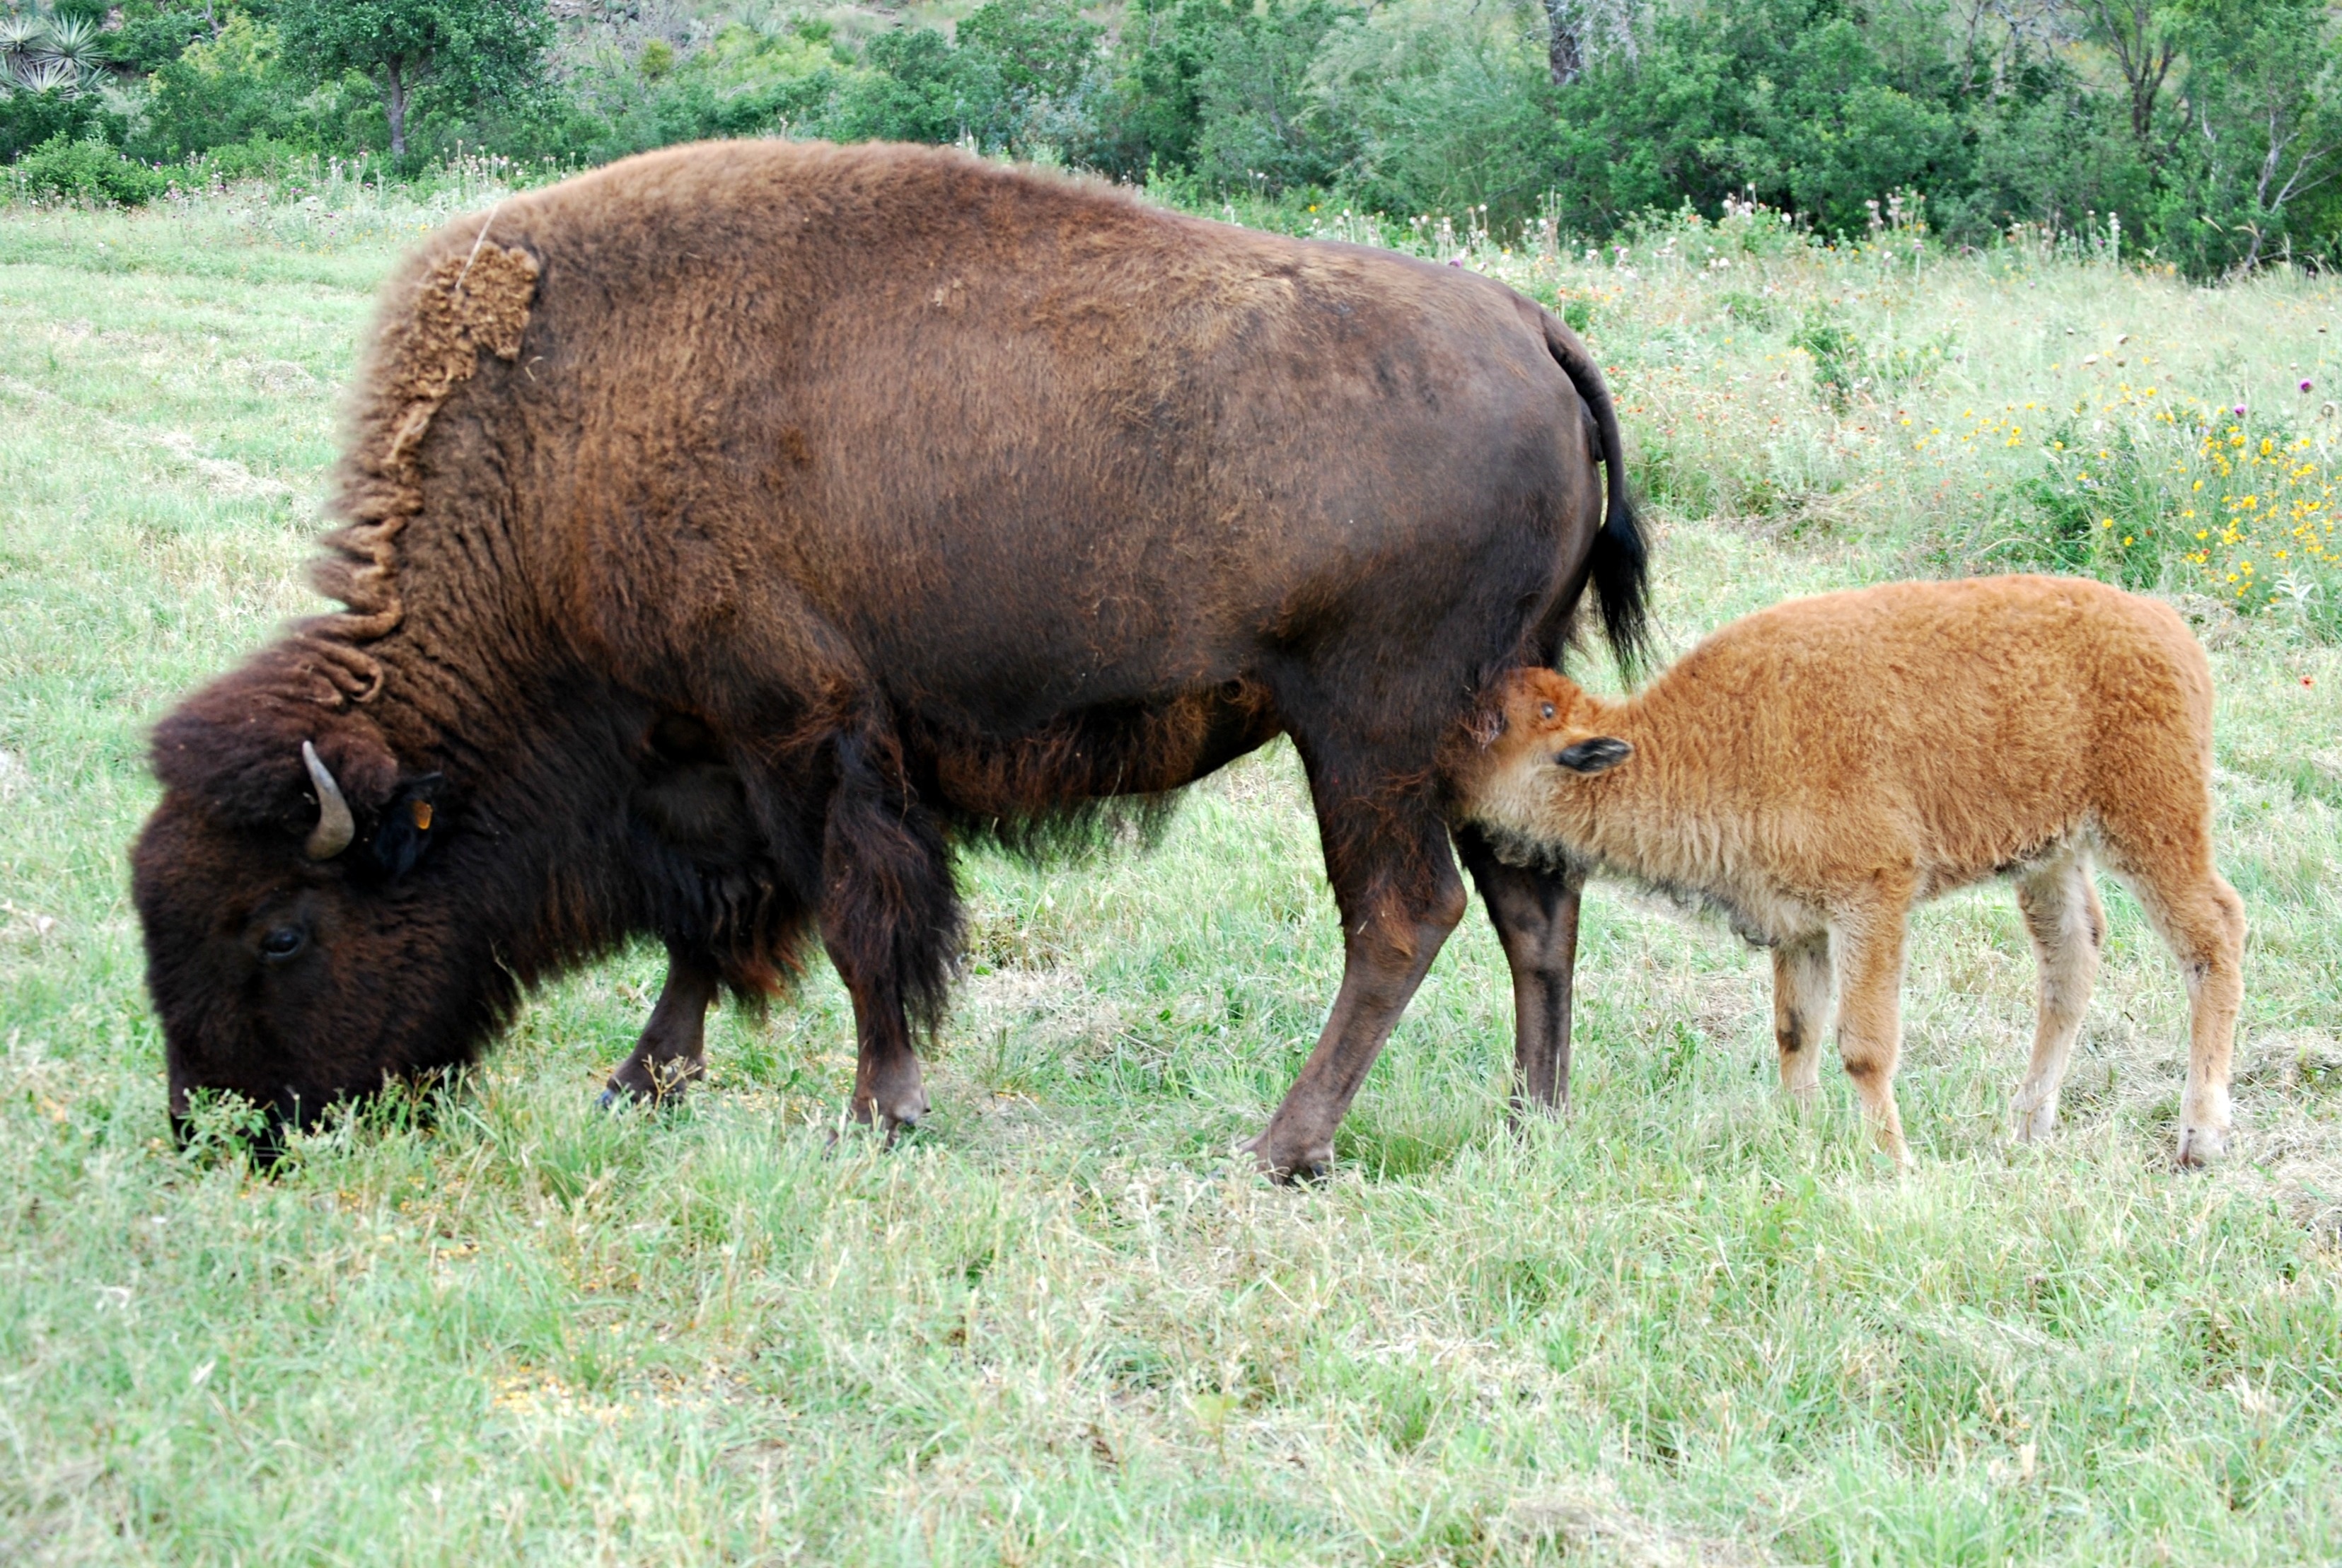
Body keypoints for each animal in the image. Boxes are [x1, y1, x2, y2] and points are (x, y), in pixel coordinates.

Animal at [128, 141, 1648, 1179]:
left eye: (279, 926)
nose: (218, 1128)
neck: (561, 454)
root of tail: (1527, 326)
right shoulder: (705, 759)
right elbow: (713, 926)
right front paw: (643, 1081)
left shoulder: (800, 734)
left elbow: (858, 920)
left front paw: (877, 1110)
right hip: (1486, 722)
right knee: (1531, 903)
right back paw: (1532, 1120)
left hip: (1367, 735)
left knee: (1404, 915)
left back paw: (1282, 1144)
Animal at [1451, 578, 2239, 1165]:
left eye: (1494, 725)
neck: (1715, 737)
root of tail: (2165, 626)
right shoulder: (1797, 927)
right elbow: (1794, 1032)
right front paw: (1797, 1137)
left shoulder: (1870, 900)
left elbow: (1862, 1045)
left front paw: (1892, 1160)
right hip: (2051, 854)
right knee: (2071, 961)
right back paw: (2026, 1124)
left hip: (2151, 824)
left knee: (2213, 936)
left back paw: (2198, 1139)